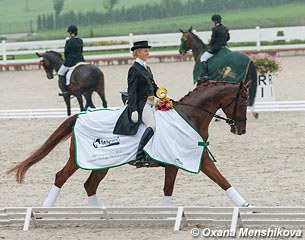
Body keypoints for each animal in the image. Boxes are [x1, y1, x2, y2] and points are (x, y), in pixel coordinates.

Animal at [7, 81, 252, 208]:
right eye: (242, 102)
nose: (240, 130)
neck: (190, 116)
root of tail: (78, 116)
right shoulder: (181, 160)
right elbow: (211, 182)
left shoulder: (193, 159)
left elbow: (220, 181)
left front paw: (245, 206)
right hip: (80, 159)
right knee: (61, 177)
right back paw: (47, 210)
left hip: (103, 164)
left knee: (90, 185)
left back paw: (100, 216)